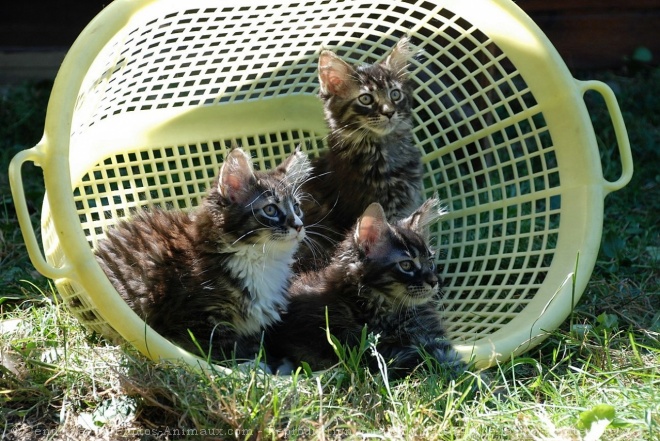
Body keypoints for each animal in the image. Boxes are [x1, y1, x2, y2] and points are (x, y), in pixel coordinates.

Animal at [94, 148, 314, 360]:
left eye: (296, 208)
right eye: (270, 210)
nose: (299, 226)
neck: (260, 260)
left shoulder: (252, 328)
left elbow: (252, 348)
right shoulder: (196, 320)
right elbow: (223, 350)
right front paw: (246, 368)